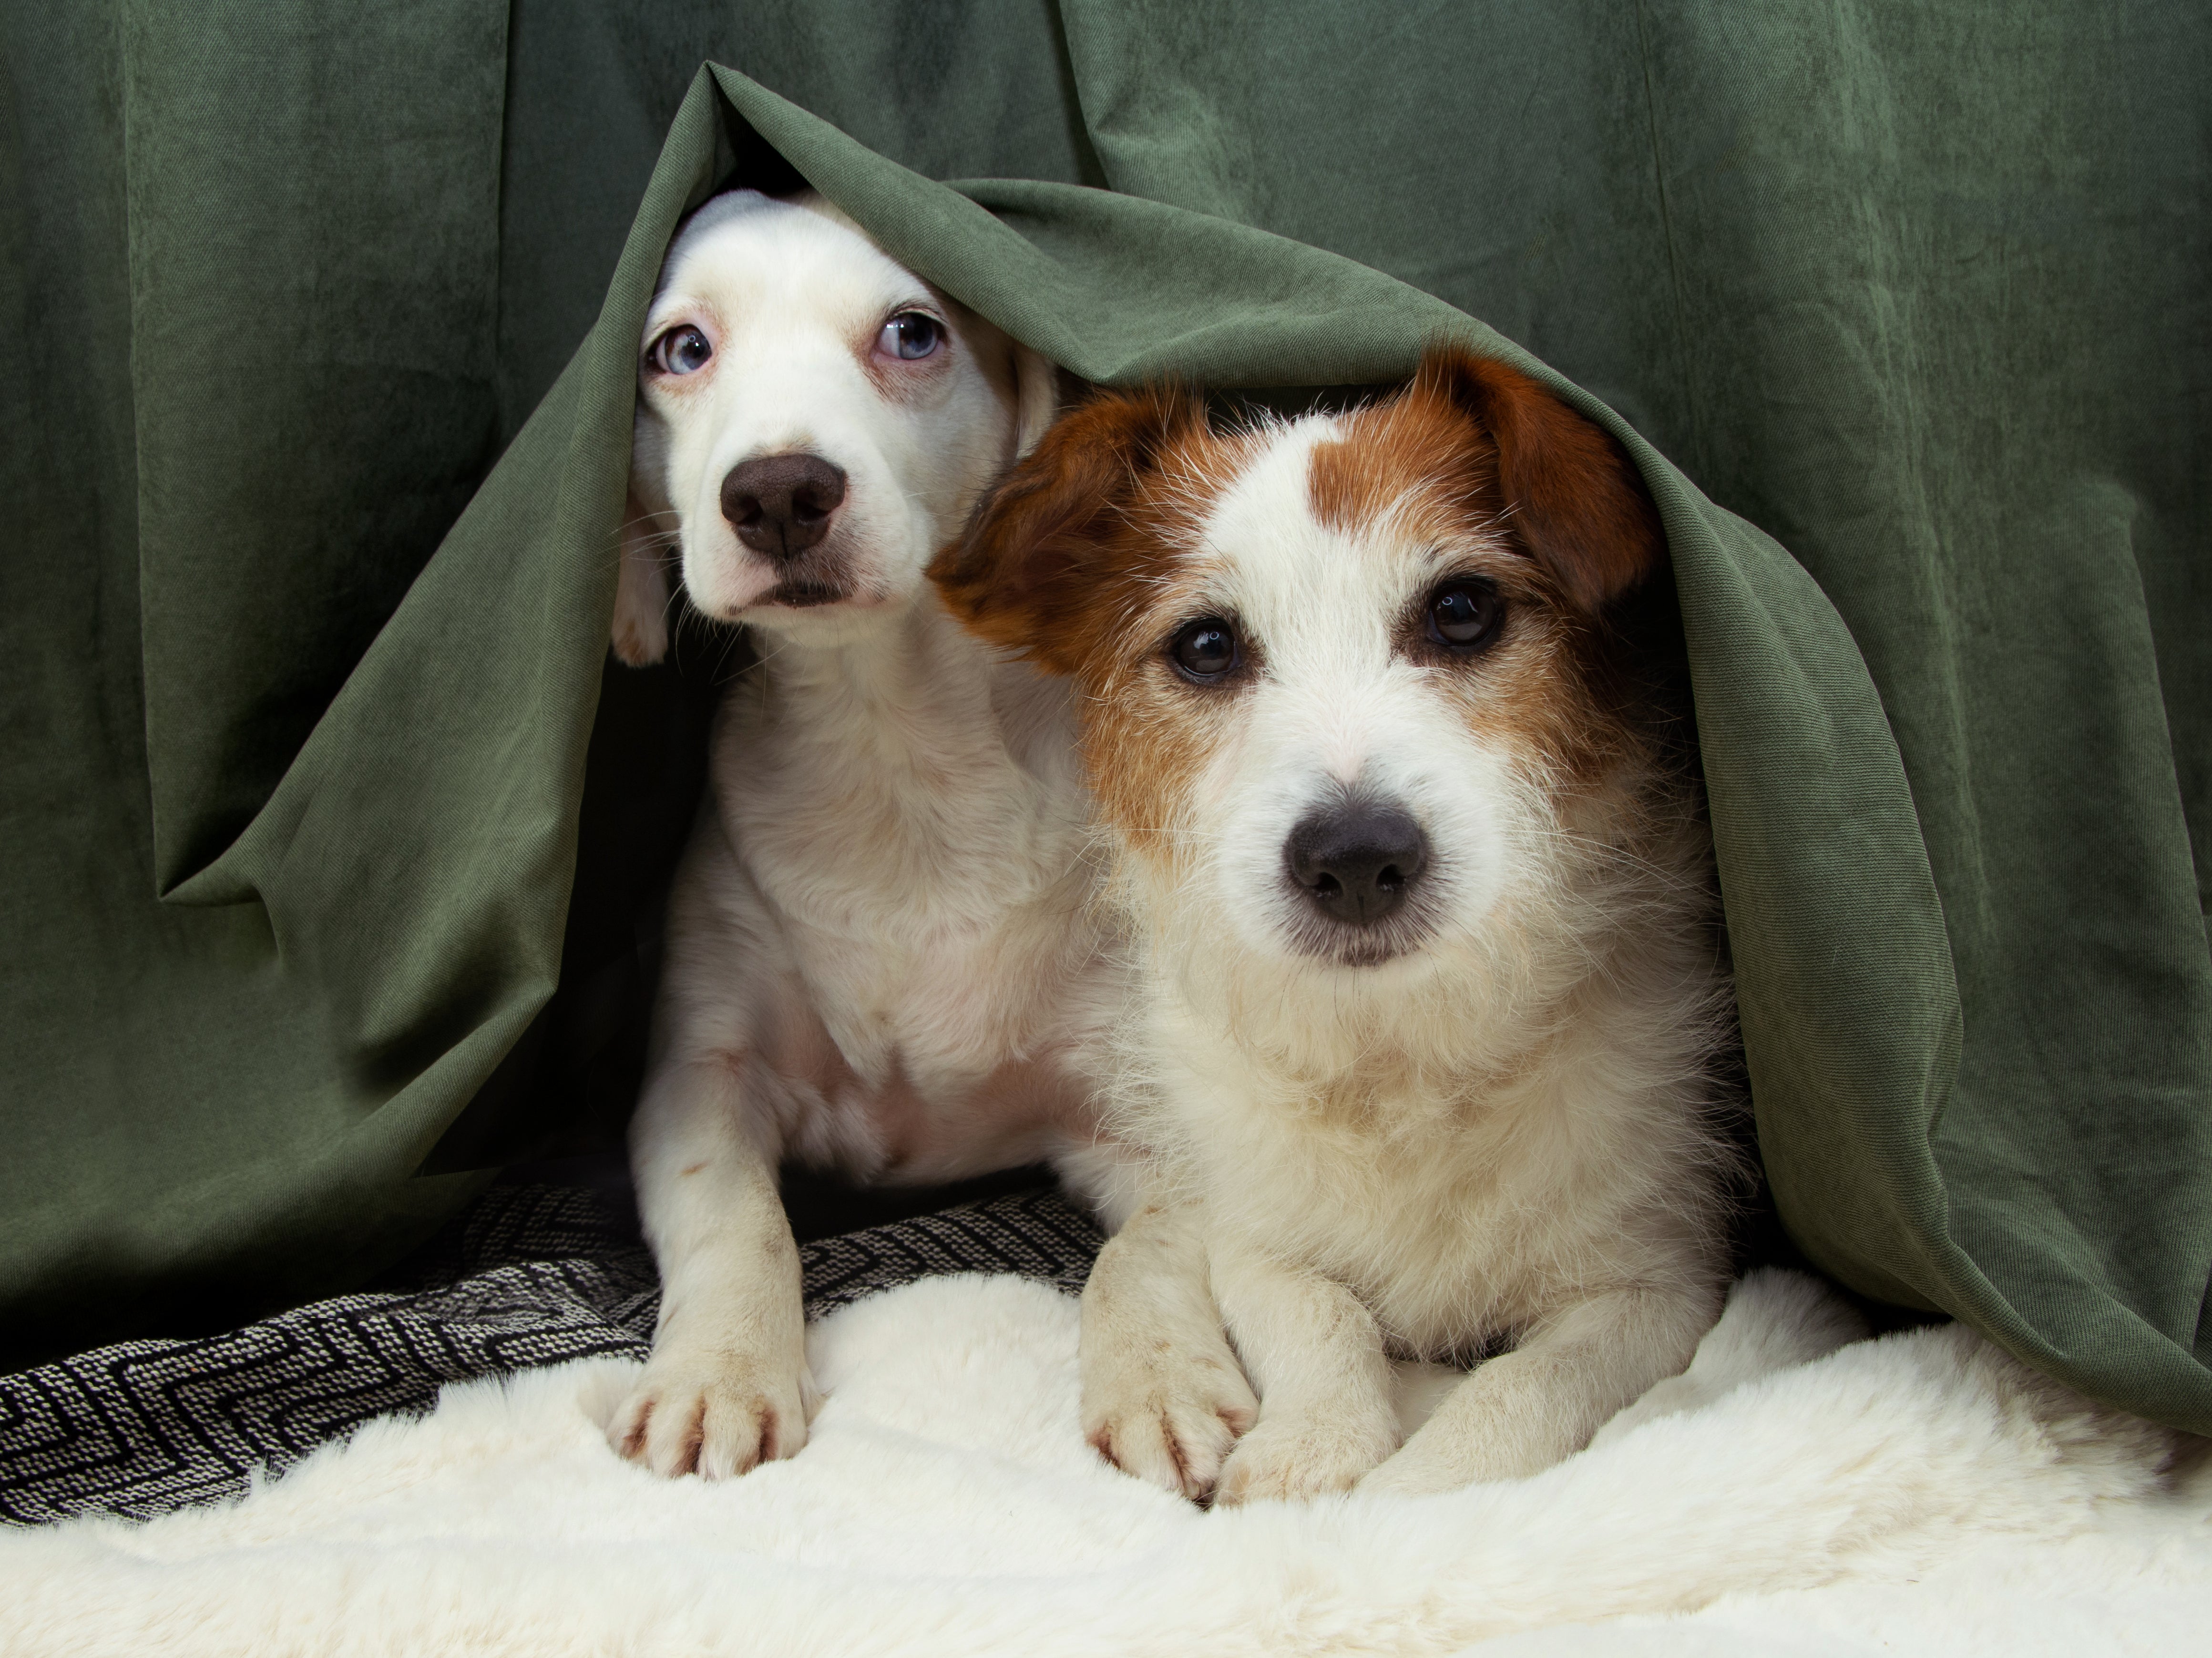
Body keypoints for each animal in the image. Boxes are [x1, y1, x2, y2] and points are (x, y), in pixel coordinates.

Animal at [606, 191, 1265, 1476]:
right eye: (679, 349)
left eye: (911, 333)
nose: (777, 490)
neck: (896, 760)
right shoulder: (697, 1081)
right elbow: (737, 1220)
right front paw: (718, 1370)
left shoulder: (1148, 1106)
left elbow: (1148, 1247)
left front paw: (1160, 1373)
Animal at [929, 347, 1725, 1503]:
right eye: (1207, 644)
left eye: (1462, 610)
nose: (1354, 859)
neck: (1397, 1053)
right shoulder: (1253, 1232)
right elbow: (1320, 1312)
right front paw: (1312, 1448)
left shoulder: (1657, 1284)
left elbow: (1525, 1382)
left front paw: (1412, 1494)